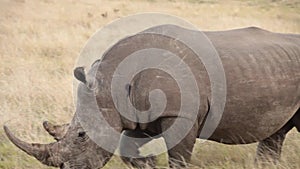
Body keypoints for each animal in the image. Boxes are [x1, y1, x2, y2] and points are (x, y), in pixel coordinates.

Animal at [2, 24, 300, 168]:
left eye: (82, 135)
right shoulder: (136, 115)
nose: (67, 168)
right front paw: (149, 165)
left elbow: (178, 158)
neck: (111, 82)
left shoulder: (180, 114)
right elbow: (130, 153)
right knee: (276, 132)